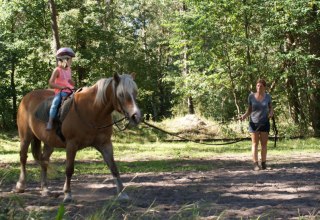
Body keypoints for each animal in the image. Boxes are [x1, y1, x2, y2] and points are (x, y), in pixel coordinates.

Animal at [14, 73, 140, 202]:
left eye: (135, 93)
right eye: (121, 94)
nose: (136, 116)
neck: (92, 111)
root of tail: (26, 98)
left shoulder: (105, 144)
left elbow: (113, 167)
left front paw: (122, 193)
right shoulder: (71, 144)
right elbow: (69, 169)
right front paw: (68, 194)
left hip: (49, 142)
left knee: (44, 161)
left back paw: (45, 189)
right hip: (25, 137)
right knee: (23, 158)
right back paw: (20, 186)